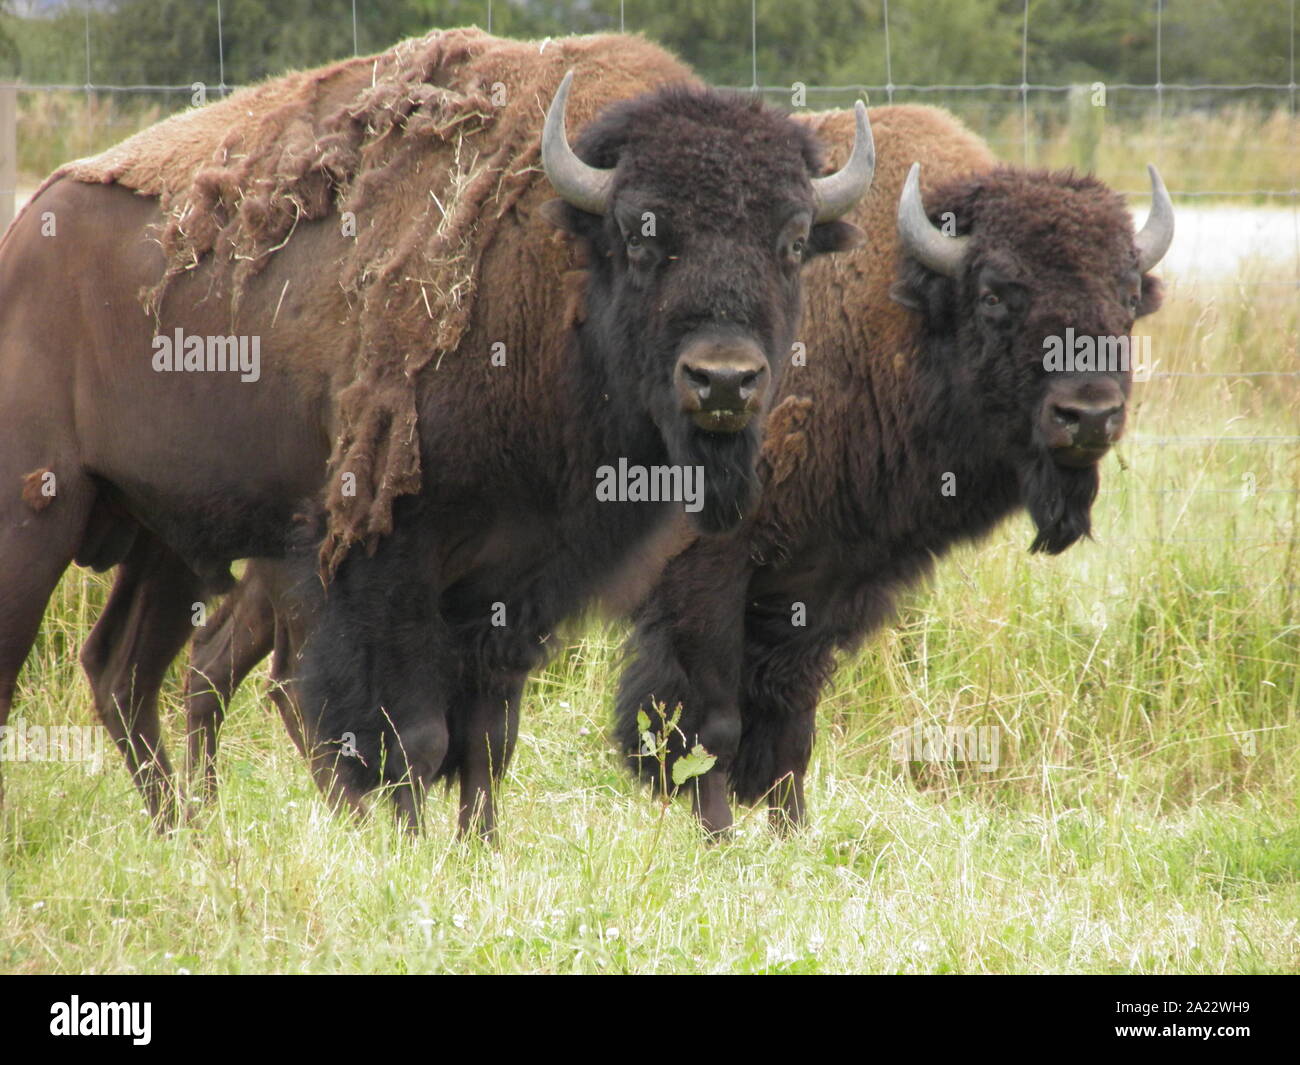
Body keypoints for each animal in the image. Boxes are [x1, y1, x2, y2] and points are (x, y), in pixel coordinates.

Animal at [0, 29, 878, 837]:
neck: (559, 267)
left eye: (792, 241)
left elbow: (488, 736)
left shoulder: (518, 579)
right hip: (43, 509)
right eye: (641, 235)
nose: (723, 380)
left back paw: (185, 831)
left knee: (123, 671)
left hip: (165, 536)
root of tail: (28, 226)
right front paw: (412, 842)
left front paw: (478, 844)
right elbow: (412, 734)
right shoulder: (393, 566)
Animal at [613, 102, 1175, 832]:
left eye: (1129, 295)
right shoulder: (708, 570)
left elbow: (789, 720)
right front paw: (719, 834)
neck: (895, 314)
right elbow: (709, 721)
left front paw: (792, 831)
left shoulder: (814, 582)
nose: (1088, 415)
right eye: (995, 295)